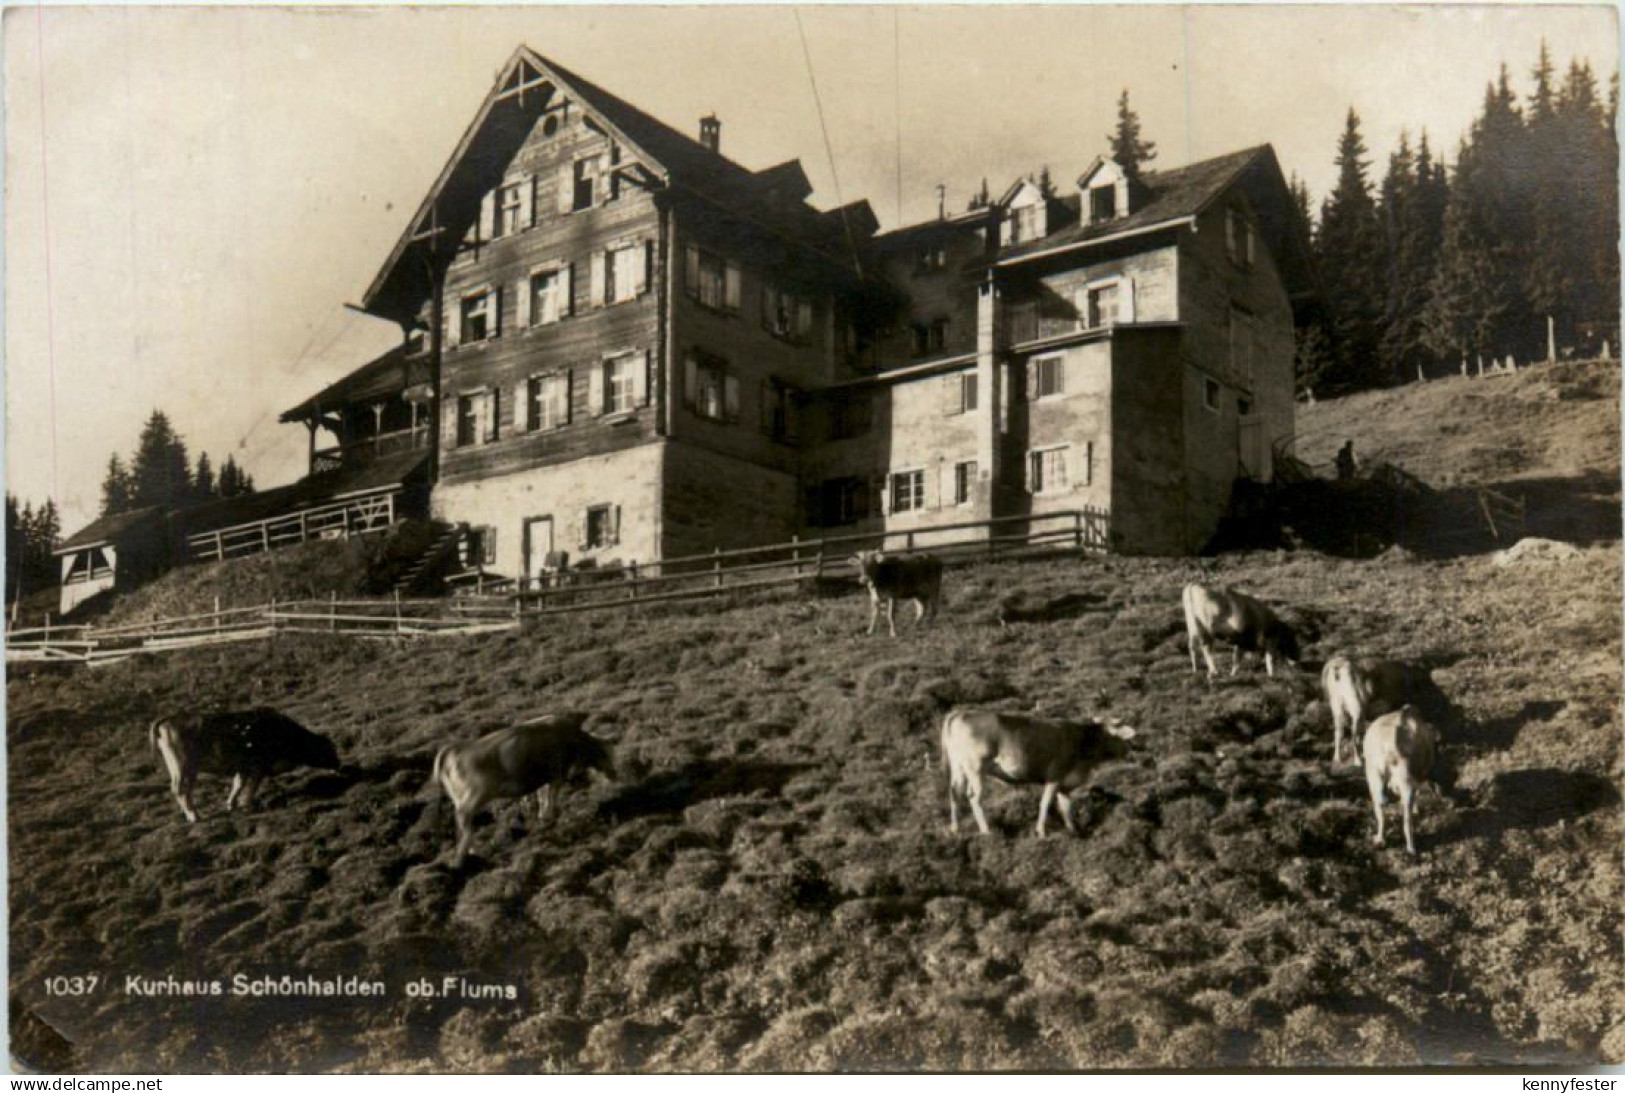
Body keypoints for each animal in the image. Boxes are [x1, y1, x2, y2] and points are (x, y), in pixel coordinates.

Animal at [152, 708, 342, 818]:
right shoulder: (258, 767)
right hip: (185, 766)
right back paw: (194, 816)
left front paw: (232, 804)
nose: (339, 764)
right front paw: (246, 804)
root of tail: (170, 718)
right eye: (329, 749)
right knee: (181, 790)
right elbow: (250, 787)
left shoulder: (243, 768)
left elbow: (238, 784)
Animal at [432, 711, 614, 864]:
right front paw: (549, 817)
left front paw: (543, 818)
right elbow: (550, 797)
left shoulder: (544, 779)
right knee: (463, 817)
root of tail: (454, 749)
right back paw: (467, 855)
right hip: (476, 794)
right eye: (608, 753)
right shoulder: (556, 775)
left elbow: (542, 797)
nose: (614, 774)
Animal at [1319, 656, 1449, 766]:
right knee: (1354, 734)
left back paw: (1338, 759)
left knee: (1339, 733)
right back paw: (1358, 761)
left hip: (1339, 710)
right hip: (1356, 709)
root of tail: (1338, 672)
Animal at [1365, 704, 1443, 857]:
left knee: (1380, 808)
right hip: (1402, 781)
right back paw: (1410, 848)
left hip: (1374, 777)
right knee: (1406, 817)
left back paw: (1381, 840)